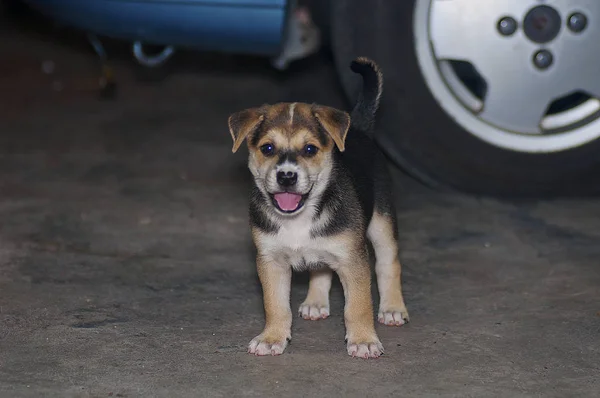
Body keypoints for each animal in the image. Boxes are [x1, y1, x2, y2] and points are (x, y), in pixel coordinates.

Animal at [229, 57, 408, 360]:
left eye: (310, 149)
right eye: (267, 148)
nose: (286, 176)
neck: (299, 218)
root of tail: (359, 128)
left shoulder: (352, 260)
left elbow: (358, 306)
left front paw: (363, 340)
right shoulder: (271, 261)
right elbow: (275, 304)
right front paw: (272, 337)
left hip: (382, 223)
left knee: (388, 264)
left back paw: (393, 308)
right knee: (321, 268)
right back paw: (315, 302)